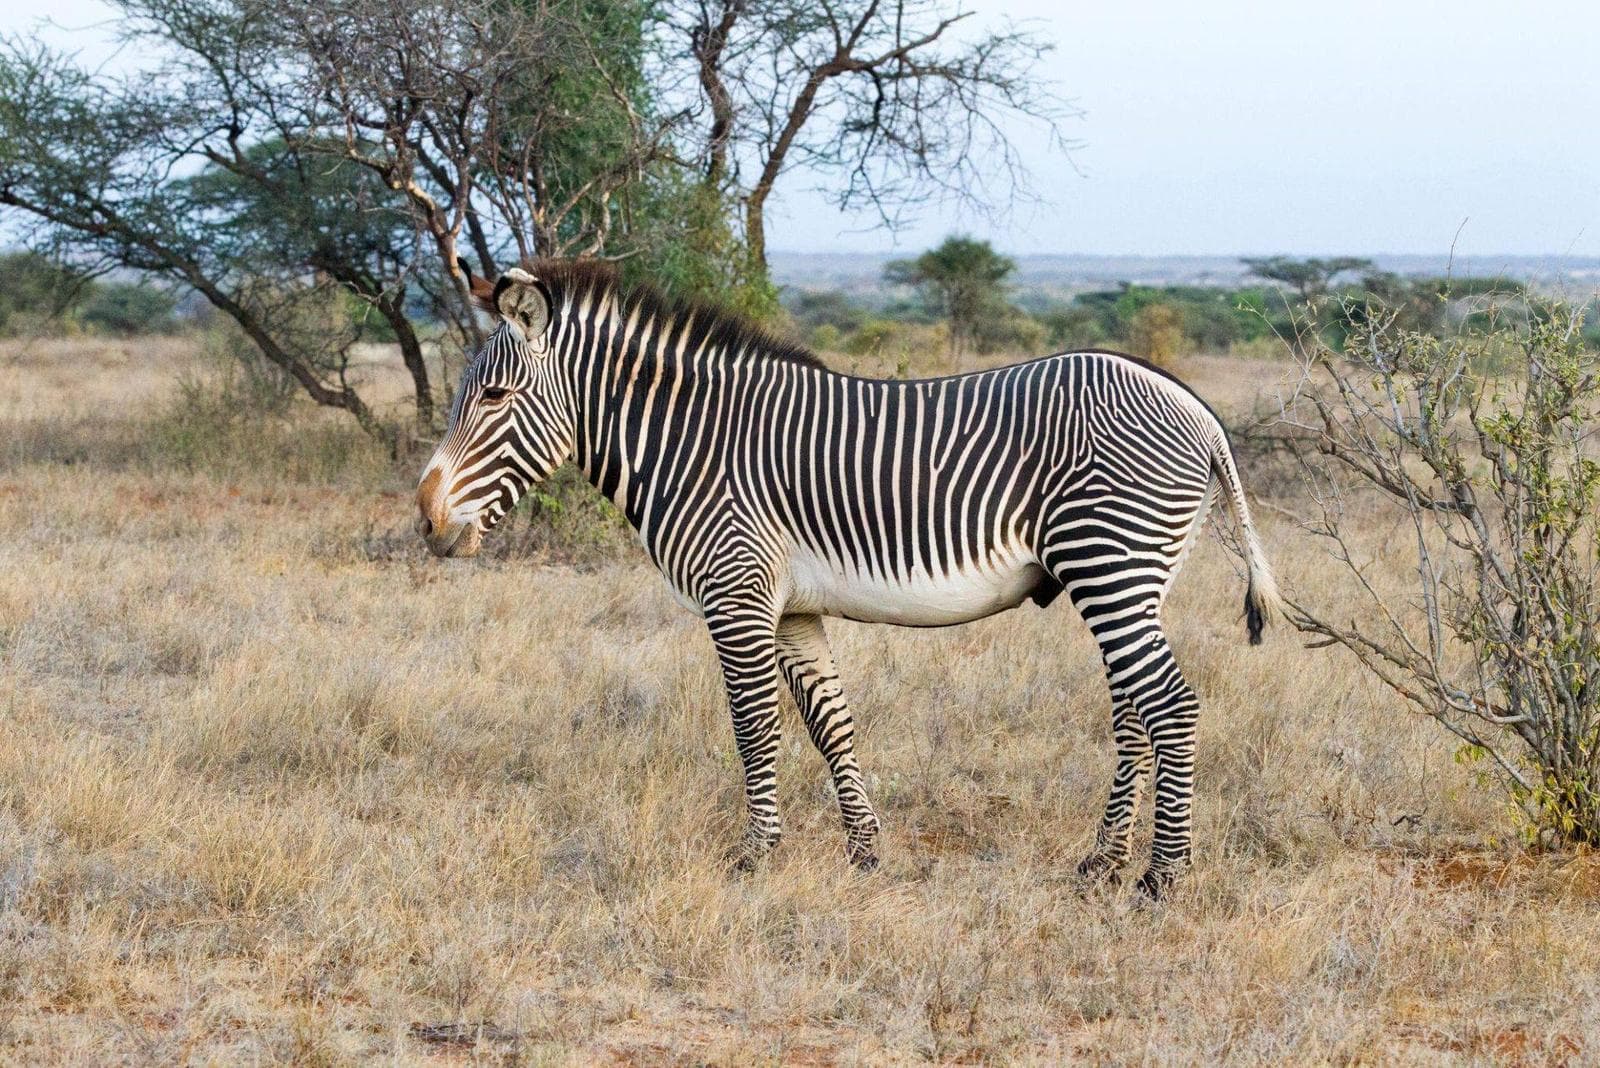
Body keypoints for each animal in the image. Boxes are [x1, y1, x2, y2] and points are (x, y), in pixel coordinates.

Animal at [416, 260, 1280, 898]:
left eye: (494, 395)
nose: (425, 519)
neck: (692, 445)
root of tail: (1196, 408)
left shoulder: (735, 594)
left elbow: (754, 728)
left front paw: (755, 856)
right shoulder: (792, 609)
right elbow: (831, 723)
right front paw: (865, 851)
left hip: (1111, 565)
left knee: (1170, 706)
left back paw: (1162, 877)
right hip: (1130, 578)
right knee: (1135, 712)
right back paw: (1101, 861)